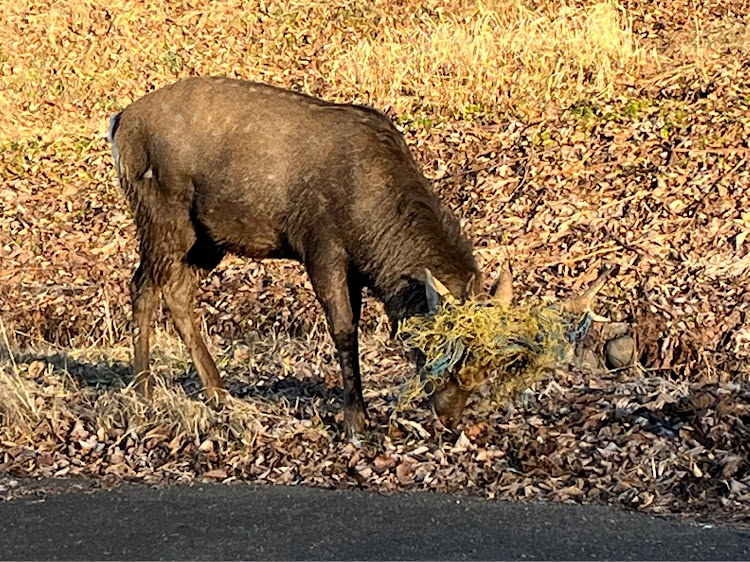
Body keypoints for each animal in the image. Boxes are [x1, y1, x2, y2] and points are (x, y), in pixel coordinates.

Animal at [106, 75, 604, 434]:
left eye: (486, 370)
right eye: (439, 353)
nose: (449, 418)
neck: (373, 231)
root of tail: (119, 121)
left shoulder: (358, 270)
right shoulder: (321, 248)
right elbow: (344, 331)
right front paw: (354, 422)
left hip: (206, 238)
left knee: (177, 291)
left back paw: (219, 393)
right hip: (162, 212)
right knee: (142, 284)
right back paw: (144, 390)